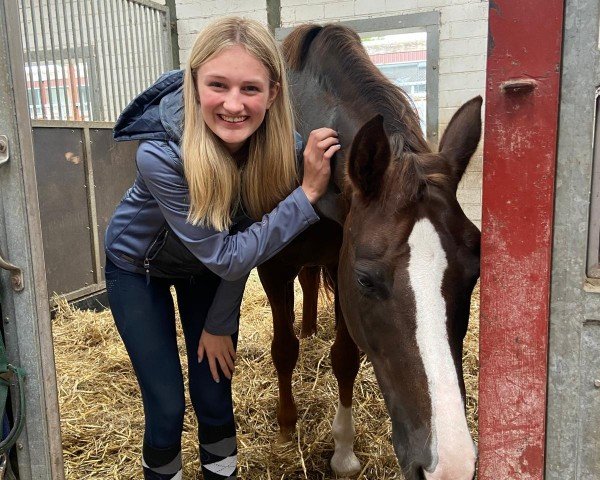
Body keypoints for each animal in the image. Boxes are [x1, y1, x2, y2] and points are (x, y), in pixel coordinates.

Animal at [255, 23, 480, 480]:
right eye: (366, 279)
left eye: (474, 273)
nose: (449, 465)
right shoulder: (276, 268)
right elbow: (283, 349)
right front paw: (286, 430)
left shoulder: (339, 260)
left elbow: (345, 357)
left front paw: (343, 451)